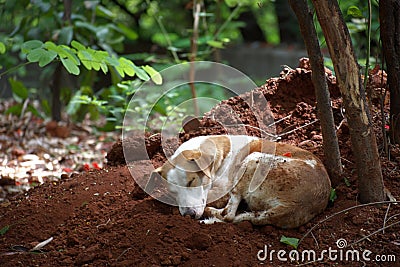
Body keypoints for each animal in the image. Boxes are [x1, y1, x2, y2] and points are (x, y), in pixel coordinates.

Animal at [153, 135, 332, 229]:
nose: (189, 215)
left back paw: (210, 214)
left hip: (252, 160)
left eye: (192, 182)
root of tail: (294, 205)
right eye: (173, 192)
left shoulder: (224, 189)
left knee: (229, 215)